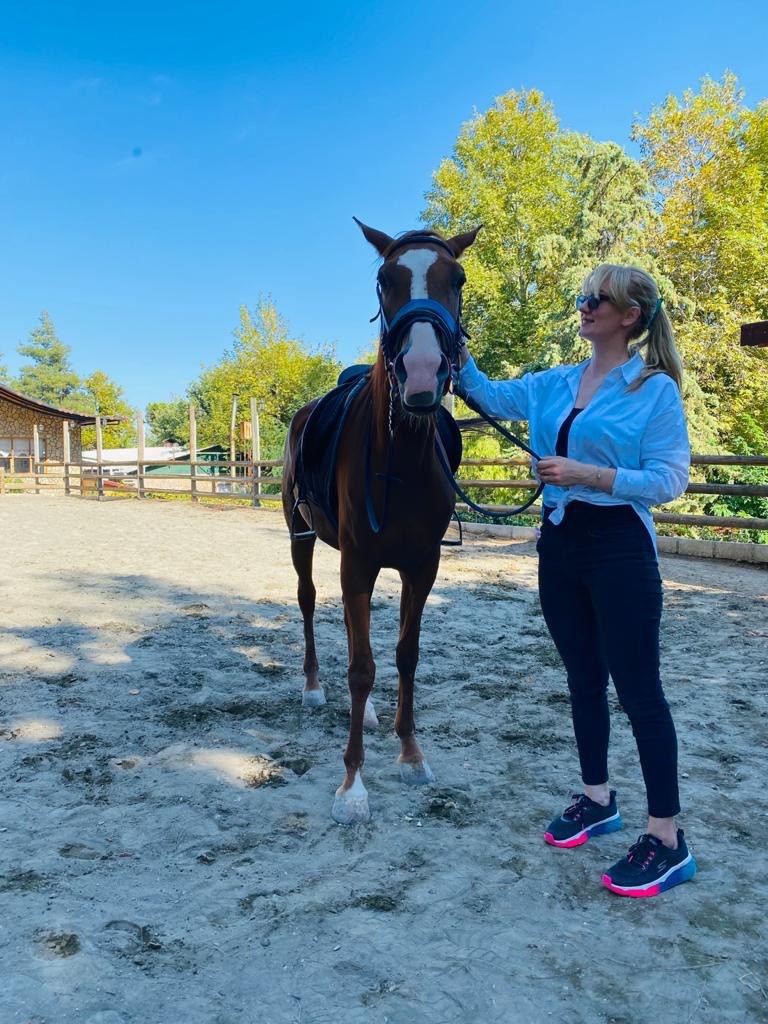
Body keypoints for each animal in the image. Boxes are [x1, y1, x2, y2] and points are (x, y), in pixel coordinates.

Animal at [281, 219, 480, 824]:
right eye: (384, 280)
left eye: (457, 279)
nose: (422, 373)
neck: (401, 460)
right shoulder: (360, 563)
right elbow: (362, 667)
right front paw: (352, 783)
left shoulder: (421, 566)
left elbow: (404, 656)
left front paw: (411, 753)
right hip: (301, 538)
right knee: (308, 604)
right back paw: (314, 689)